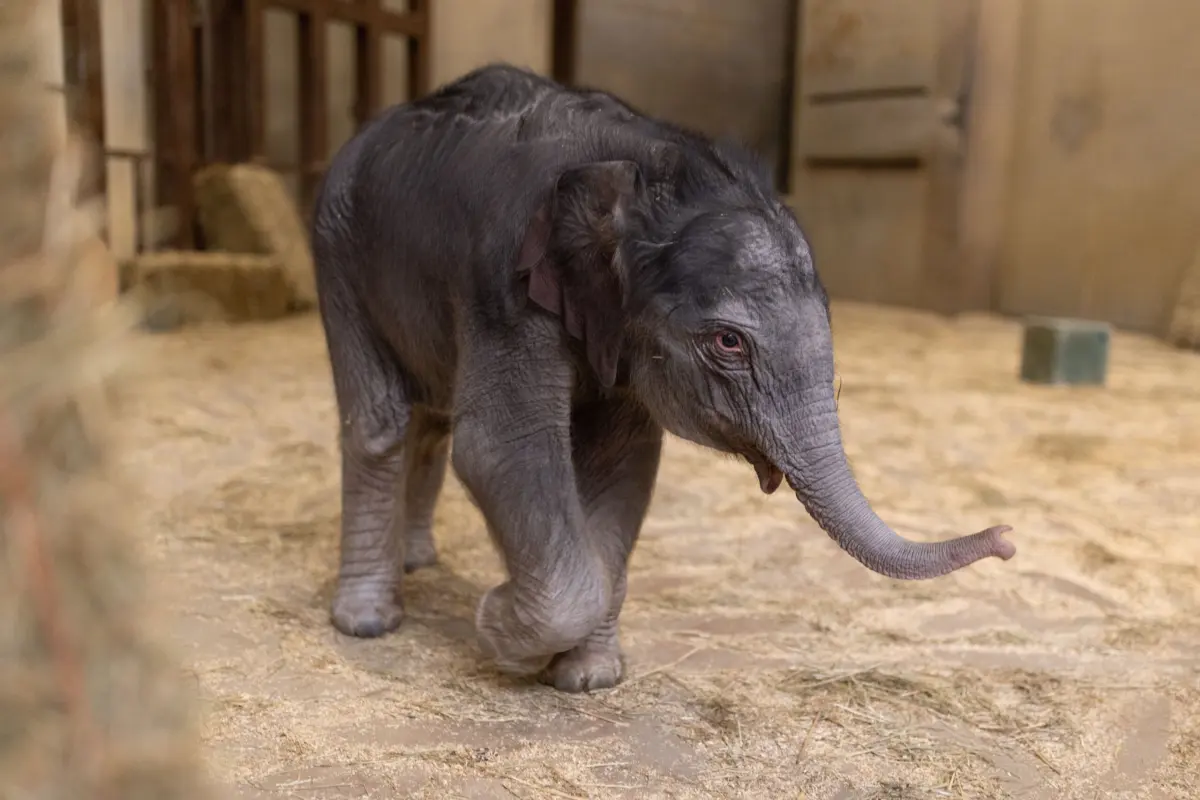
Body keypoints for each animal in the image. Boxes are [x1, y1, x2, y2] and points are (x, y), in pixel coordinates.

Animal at [310, 63, 1015, 692]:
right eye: (729, 342)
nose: (1007, 538)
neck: (646, 171)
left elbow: (621, 465)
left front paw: (589, 678)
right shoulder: (503, 289)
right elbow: (499, 451)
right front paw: (495, 623)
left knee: (430, 417)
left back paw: (418, 560)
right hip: (337, 249)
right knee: (381, 423)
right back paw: (368, 621)